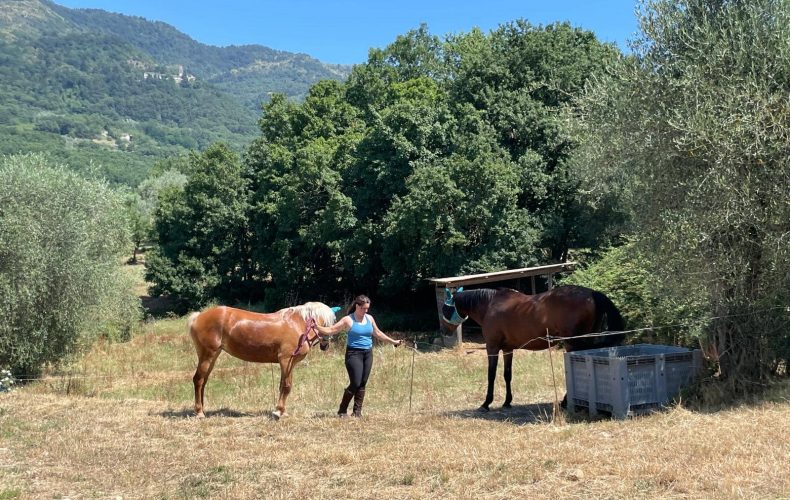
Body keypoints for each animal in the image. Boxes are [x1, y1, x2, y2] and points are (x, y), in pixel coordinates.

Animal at [189, 300, 338, 418]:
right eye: (331, 322)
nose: (325, 345)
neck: (298, 324)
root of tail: (198, 317)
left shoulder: (287, 364)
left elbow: (281, 385)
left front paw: (280, 410)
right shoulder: (286, 360)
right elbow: (287, 386)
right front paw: (279, 411)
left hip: (213, 356)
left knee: (204, 381)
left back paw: (202, 409)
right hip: (207, 355)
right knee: (198, 380)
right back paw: (199, 412)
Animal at [440, 286, 624, 410]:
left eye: (444, 308)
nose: (445, 331)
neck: (490, 305)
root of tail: (591, 293)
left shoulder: (491, 347)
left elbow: (491, 375)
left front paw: (486, 402)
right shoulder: (508, 349)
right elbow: (507, 375)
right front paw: (507, 401)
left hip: (573, 343)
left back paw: (567, 401)